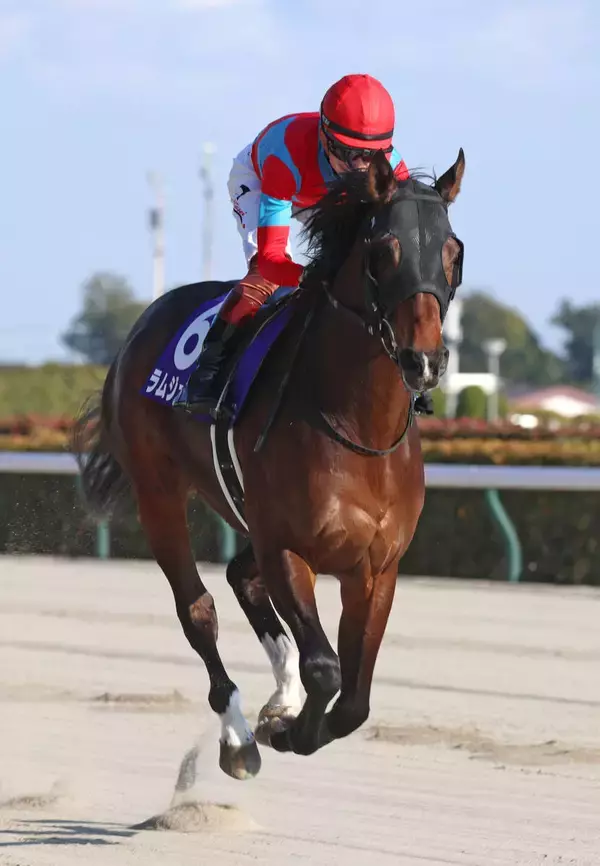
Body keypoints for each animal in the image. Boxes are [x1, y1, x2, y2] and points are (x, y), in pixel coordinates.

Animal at [72, 148, 465, 782]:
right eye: (385, 251)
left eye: (454, 251)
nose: (423, 360)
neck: (358, 427)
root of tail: (145, 322)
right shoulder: (287, 548)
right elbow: (325, 667)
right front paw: (283, 732)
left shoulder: (377, 567)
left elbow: (354, 700)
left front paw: (291, 715)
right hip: (159, 493)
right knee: (198, 609)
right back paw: (237, 735)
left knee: (241, 577)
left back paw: (279, 697)